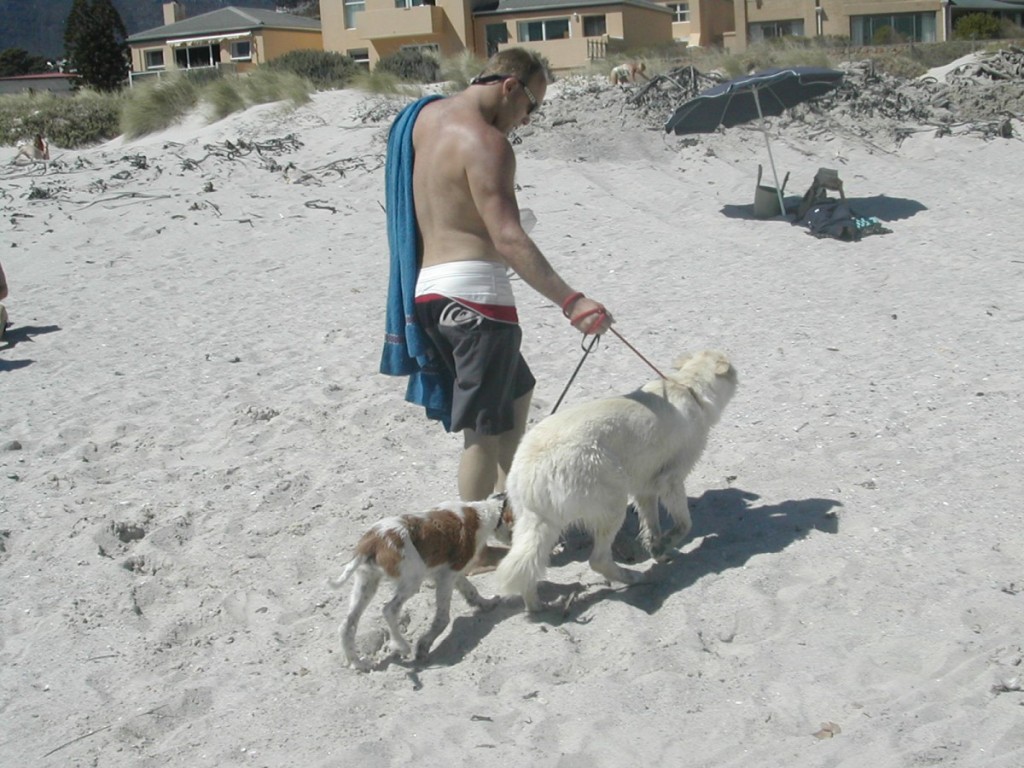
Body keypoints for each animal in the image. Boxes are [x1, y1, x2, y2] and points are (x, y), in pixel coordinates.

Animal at [331, 495, 516, 671]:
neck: (480, 513)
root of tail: (372, 543)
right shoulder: (446, 577)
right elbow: (442, 619)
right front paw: (424, 645)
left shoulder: (451, 572)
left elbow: (471, 590)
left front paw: (487, 603)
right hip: (412, 581)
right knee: (389, 610)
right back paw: (402, 646)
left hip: (366, 583)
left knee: (347, 625)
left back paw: (358, 663)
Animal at [495, 350, 737, 614]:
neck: (689, 387)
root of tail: (532, 468)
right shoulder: (670, 480)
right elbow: (685, 524)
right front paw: (666, 545)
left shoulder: (645, 487)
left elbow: (653, 527)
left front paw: (659, 550)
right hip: (612, 504)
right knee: (598, 560)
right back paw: (632, 577)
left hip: (538, 522)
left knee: (528, 564)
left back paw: (537, 606)